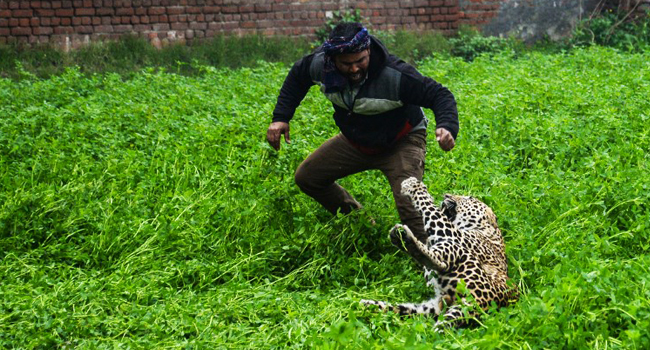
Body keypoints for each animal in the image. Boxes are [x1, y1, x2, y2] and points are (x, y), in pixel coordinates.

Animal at [360, 178, 516, 328]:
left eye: (469, 198)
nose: (446, 195)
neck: (489, 229)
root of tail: (479, 304)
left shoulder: (453, 233)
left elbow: (431, 208)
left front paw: (413, 185)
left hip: (461, 257)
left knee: (440, 262)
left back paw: (404, 239)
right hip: (430, 309)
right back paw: (367, 304)